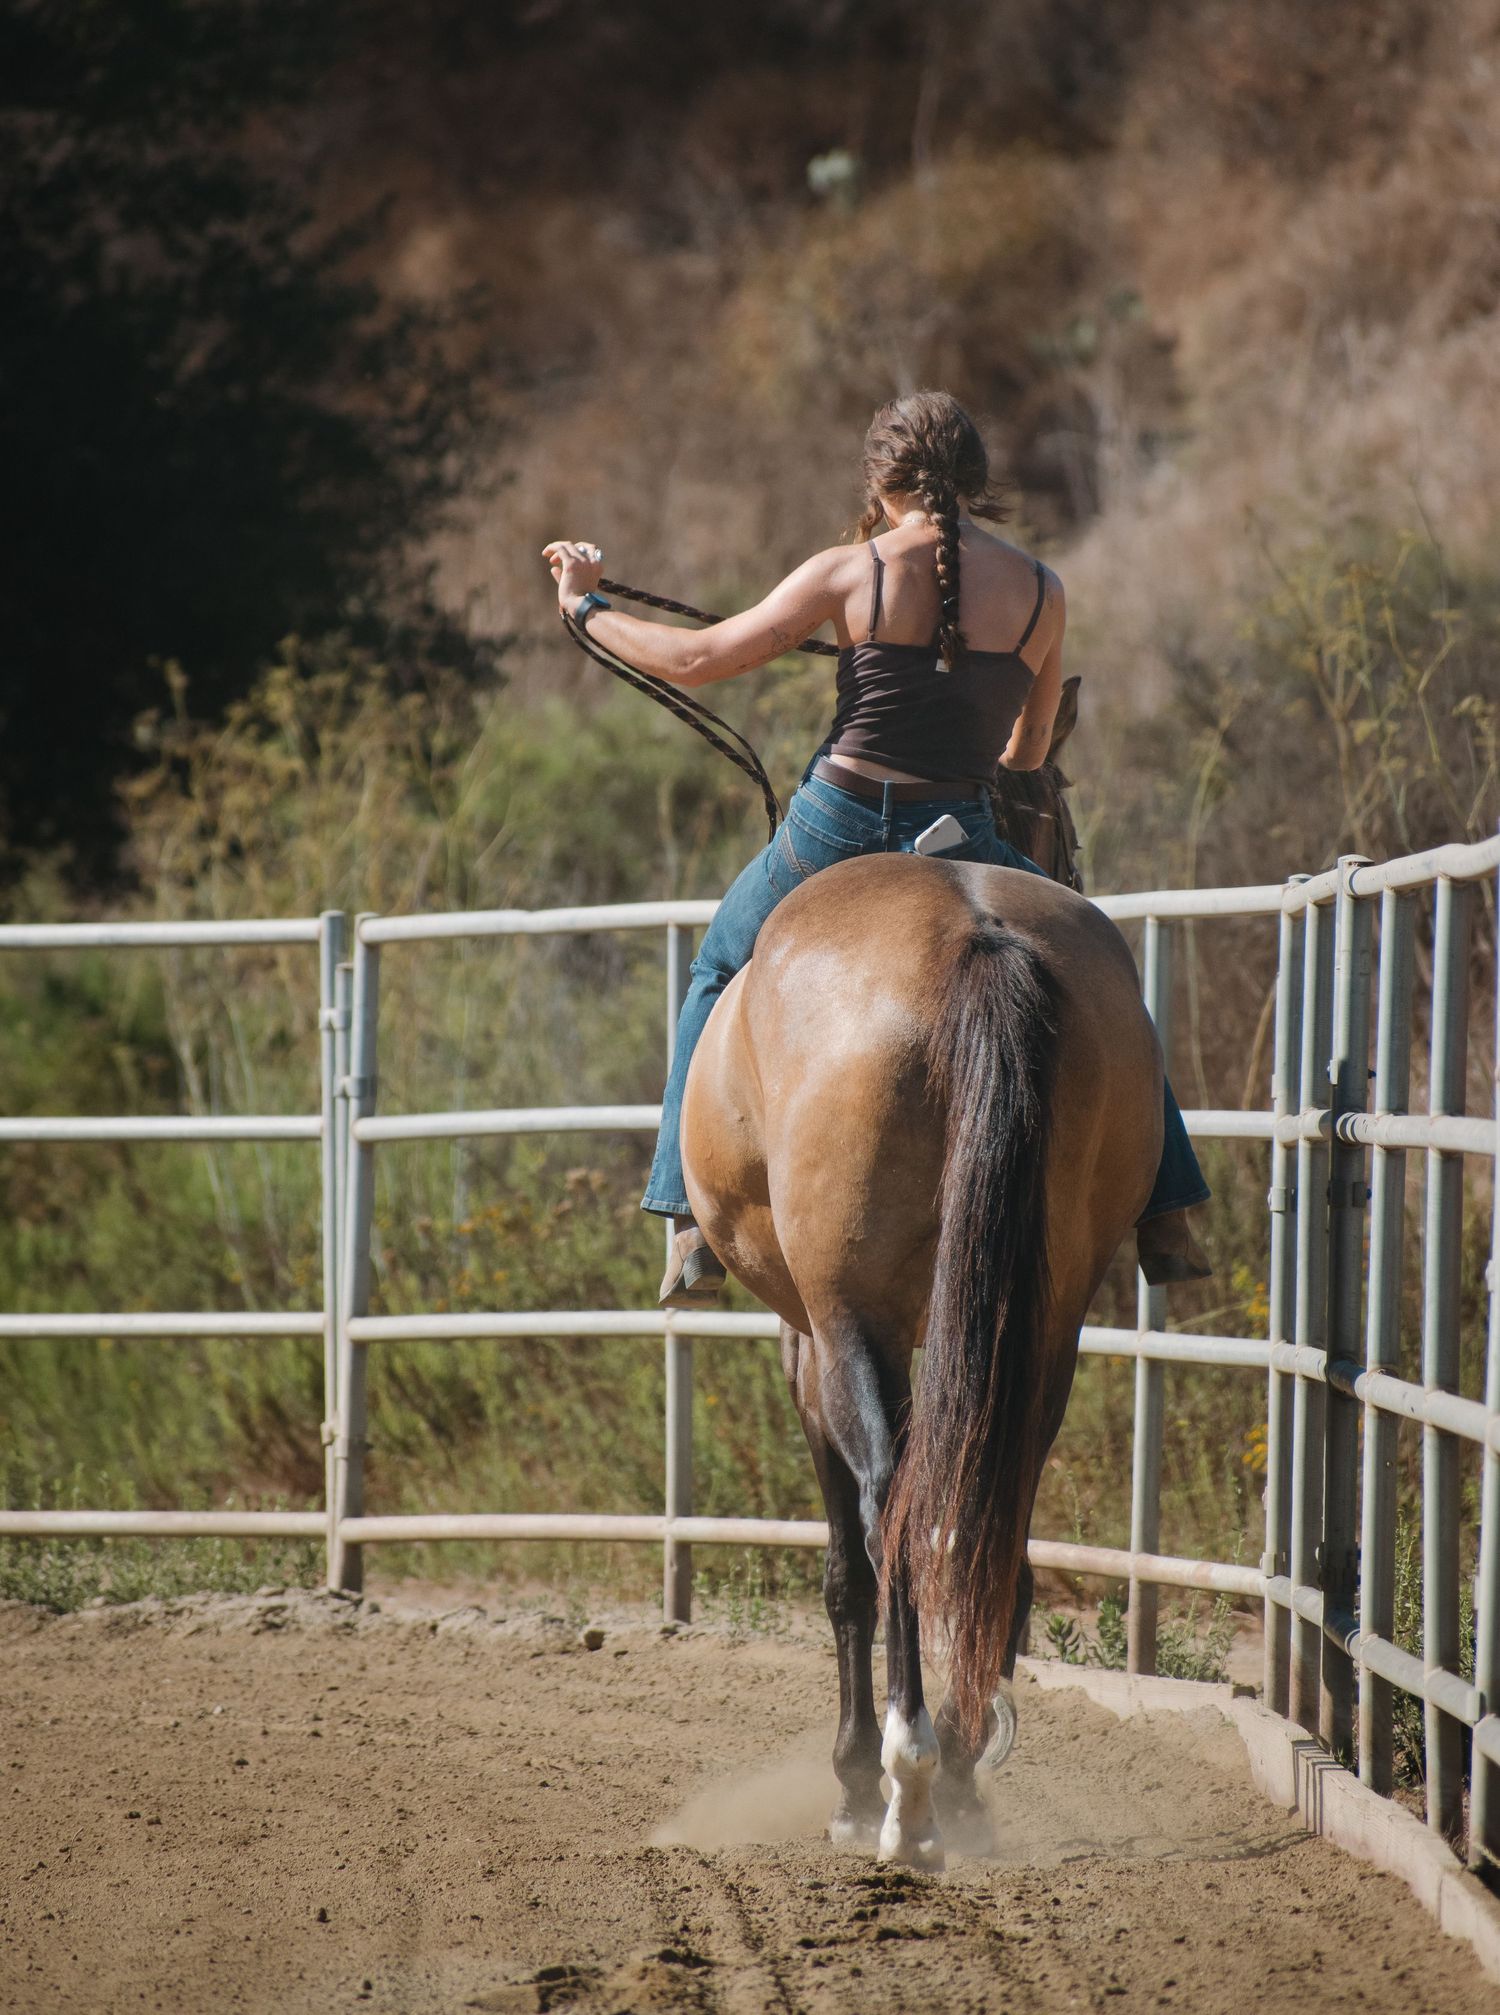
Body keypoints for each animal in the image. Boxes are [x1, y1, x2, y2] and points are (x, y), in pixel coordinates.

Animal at [677, 691, 1163, 1870]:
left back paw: (905, 1779)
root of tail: (974, 934)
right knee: (994, 1507)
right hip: (1048, 1318)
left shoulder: (811, 1339)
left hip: (851, 1312)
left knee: (890, 1503)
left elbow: (846, 1566)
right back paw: (966, 1771)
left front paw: (853, 1779)